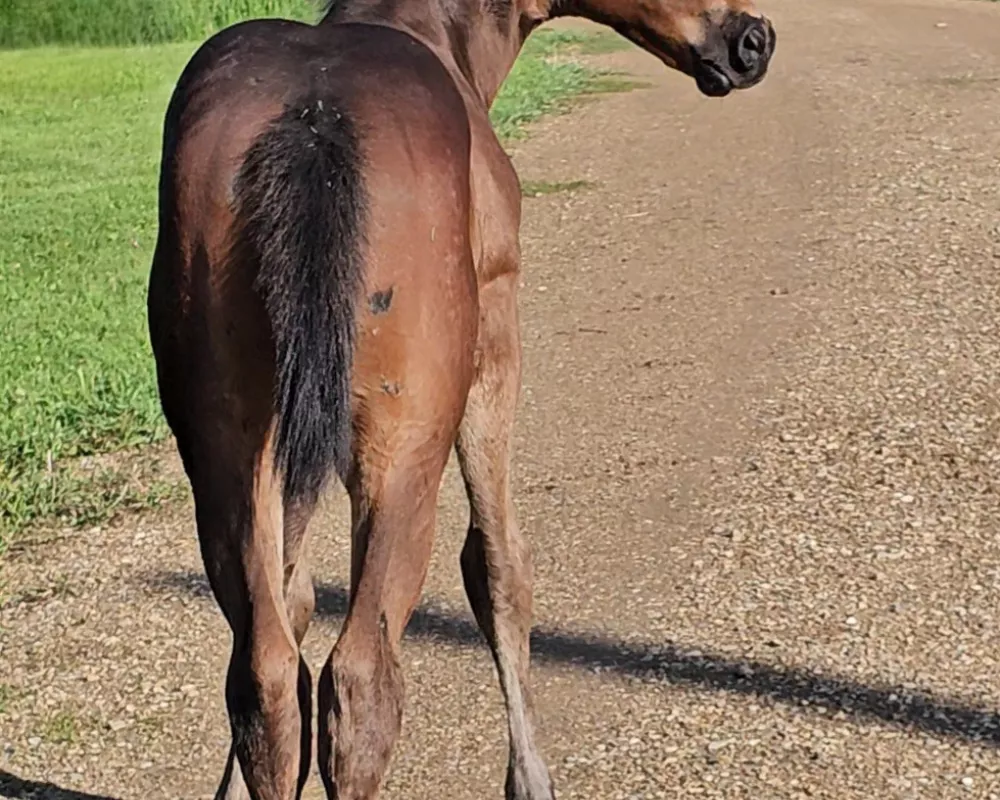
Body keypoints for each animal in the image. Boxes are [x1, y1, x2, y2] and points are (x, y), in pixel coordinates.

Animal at [146, 0, 772, 796]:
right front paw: (530, 778)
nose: (752, 40)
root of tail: (312, 122)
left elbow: (291, 598)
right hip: (402, 454)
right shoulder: (496, 343)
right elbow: (498, 565)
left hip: (229, 453)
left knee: (266, 676)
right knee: (362, 681)